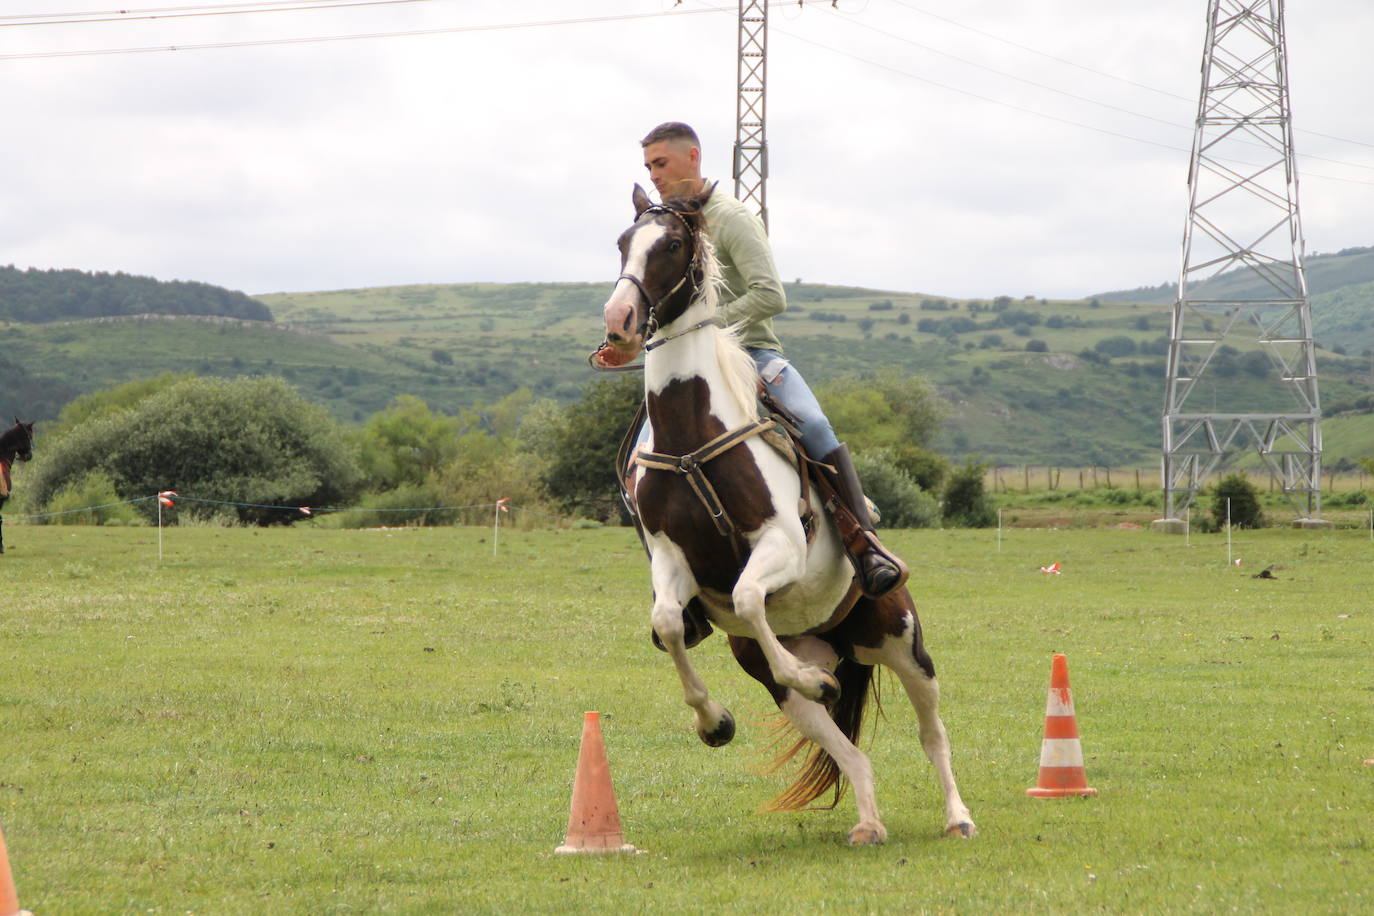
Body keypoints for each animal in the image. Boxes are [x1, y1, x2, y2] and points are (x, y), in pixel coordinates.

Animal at [593, 184, 978, 845]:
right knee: (850, 751)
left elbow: (748, 596)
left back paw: (957, 816)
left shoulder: (780, 543)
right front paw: (714, 722)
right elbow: (670, 623)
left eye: (672, 245)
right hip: (780, 677)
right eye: (622, 243)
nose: (619, 322)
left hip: (903, 642)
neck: (692, 438)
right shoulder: (671, 559)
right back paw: (866, 818)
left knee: (933, 735)